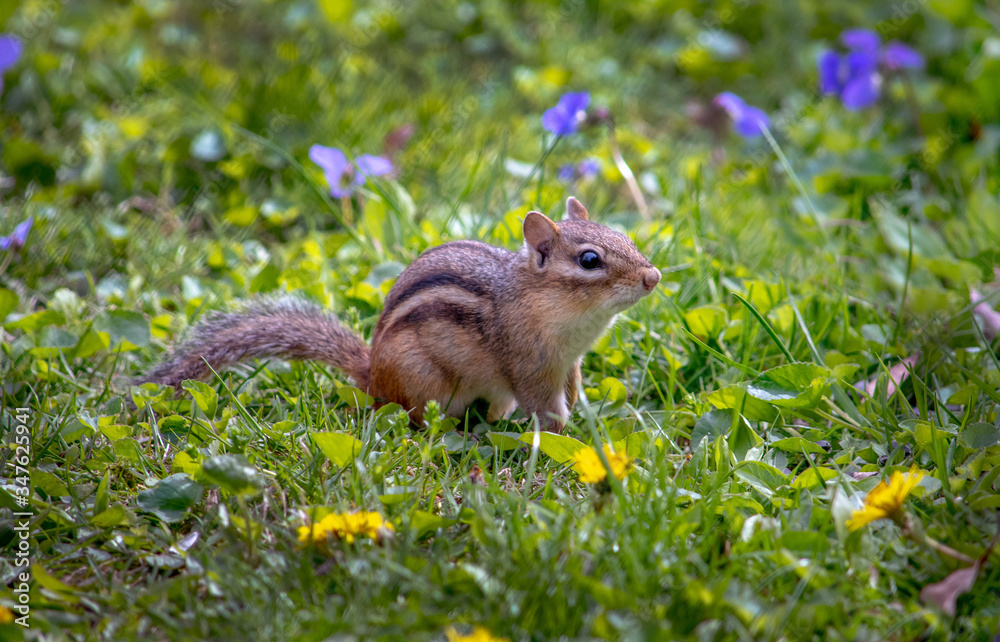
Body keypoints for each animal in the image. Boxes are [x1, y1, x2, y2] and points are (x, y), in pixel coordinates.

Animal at [138, 197, 661, 432]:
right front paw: (573, 437)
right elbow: (547, 408)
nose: (653, 277)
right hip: (424, 384)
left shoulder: (570, 362)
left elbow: (574, 389)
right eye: (589, 260)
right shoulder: (529, 364)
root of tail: (372, 374)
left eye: (625, 236)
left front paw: (591, 416)